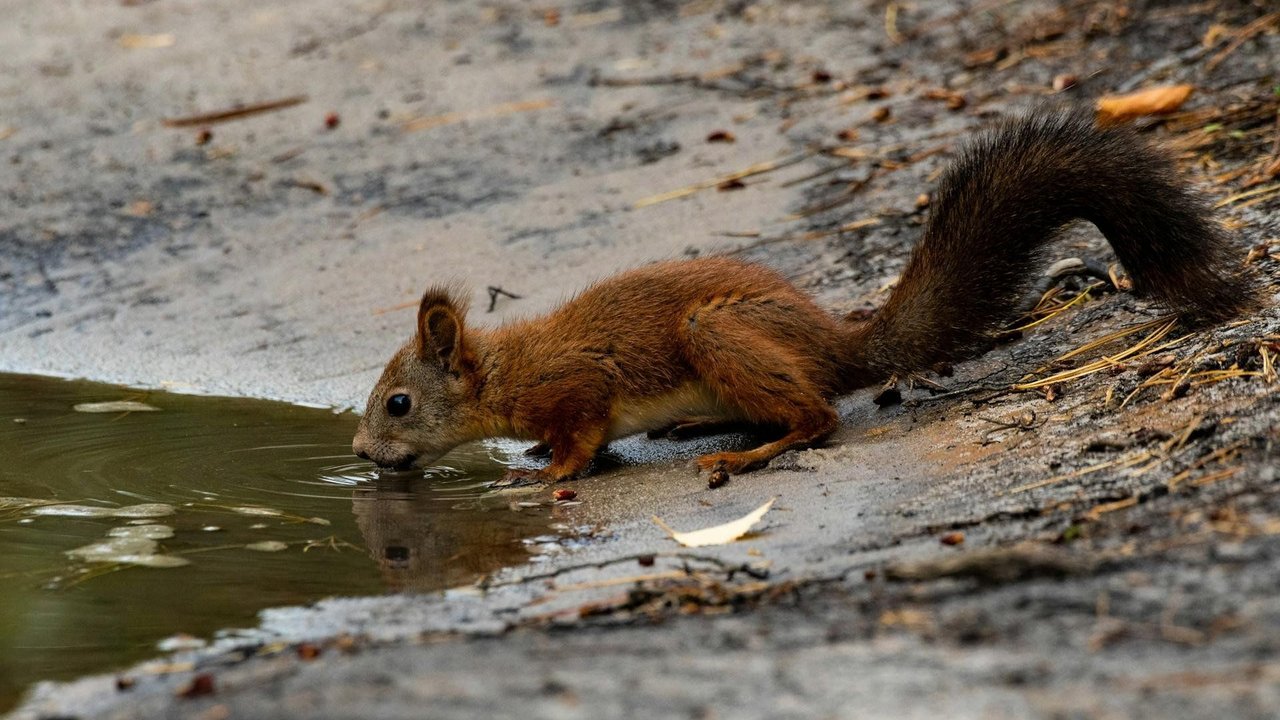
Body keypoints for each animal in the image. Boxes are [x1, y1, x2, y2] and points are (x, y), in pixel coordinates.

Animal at [352, 110, 1257, 484]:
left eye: (398, 403)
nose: (359, 455)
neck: (505, 373)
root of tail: (839, 342)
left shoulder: (577, 386)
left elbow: (583, 438)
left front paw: (546, 472)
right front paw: (537, 459)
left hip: (716, 335)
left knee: (817, 418)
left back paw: (745, 454)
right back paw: (710, 426)